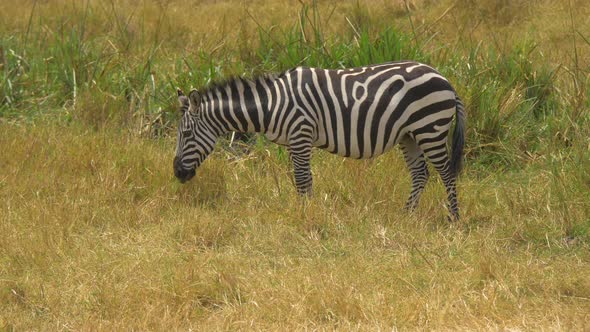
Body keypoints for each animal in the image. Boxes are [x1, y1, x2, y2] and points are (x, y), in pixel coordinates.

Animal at [175, 61, 468, 219]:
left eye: (186, 134)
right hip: (410, 135)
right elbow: (301, 180)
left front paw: (307, 214)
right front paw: (306, 211)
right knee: (420, 174)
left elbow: (303, 178)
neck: (271, 104)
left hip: (430, 127)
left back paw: (453, 217)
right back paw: (407, 215)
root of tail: (445, 80)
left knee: (446, 172)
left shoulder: (301, 132)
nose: (177, 173)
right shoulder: (293, 141)